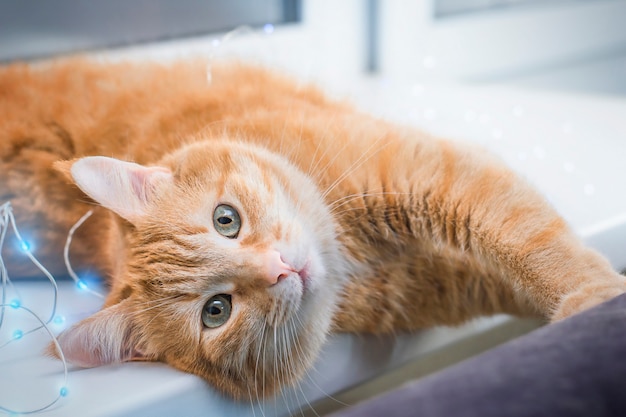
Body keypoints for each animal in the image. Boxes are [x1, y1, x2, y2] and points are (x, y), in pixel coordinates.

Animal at [0, 59, 620, 400]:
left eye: (226, 220)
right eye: (216, 312)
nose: (279, 268)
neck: (356, 257)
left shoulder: (437, 174)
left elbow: (534, 244)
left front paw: (596, 296)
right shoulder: (457, 282)